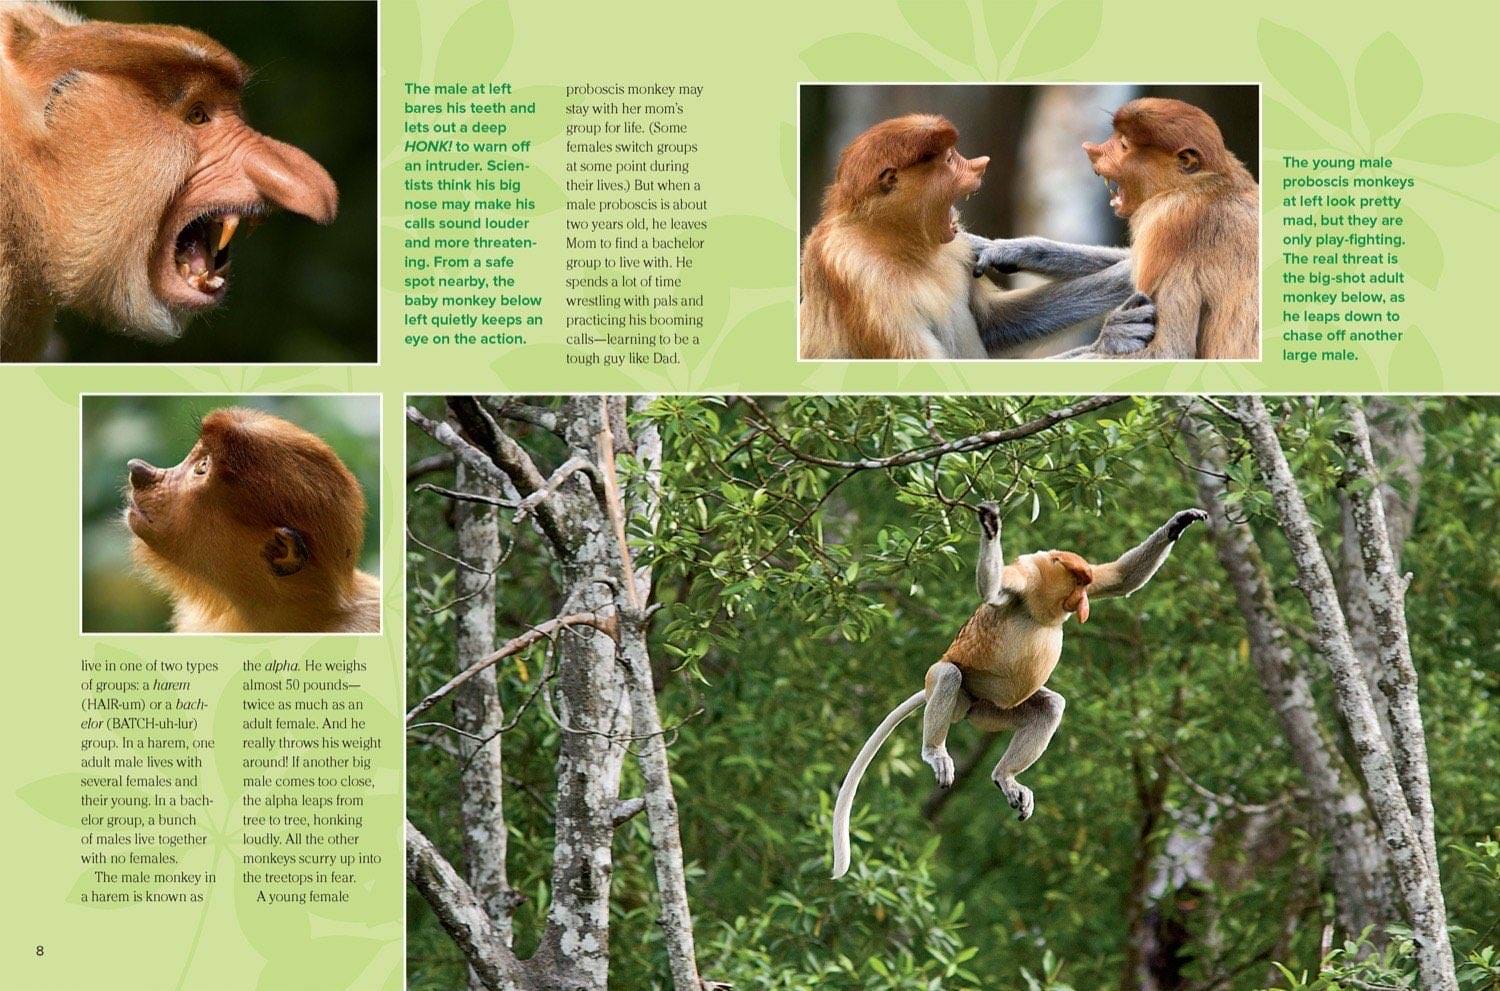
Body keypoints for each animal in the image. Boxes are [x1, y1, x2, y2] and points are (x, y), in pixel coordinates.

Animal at [798, 113, 1155, 361]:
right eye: (947, 159)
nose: (979, 165)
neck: (892, 237)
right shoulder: (858, 274)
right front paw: (1114, 335)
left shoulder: (955, 248)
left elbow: (994, 325)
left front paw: (1011, 250)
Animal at [830, 501, 1207, 879]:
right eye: (1077, 582)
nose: (1083, 603)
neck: (1044, 597)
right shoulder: (1024, 577)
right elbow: (993, 590)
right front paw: (990, 527)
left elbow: (1119, 577)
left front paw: (1181, 522)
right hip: (951, 686)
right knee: (950, 675)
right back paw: (936, 752)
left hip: (990, 711)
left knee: (1050, 706)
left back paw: (1006, 777)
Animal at [972, 98, 1258, 360]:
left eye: (1123, 145)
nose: (1092, 150)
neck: (1207, 182)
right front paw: (1007, 249)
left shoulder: (1166, 221)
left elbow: (1168, 352)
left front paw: (1111, 339)